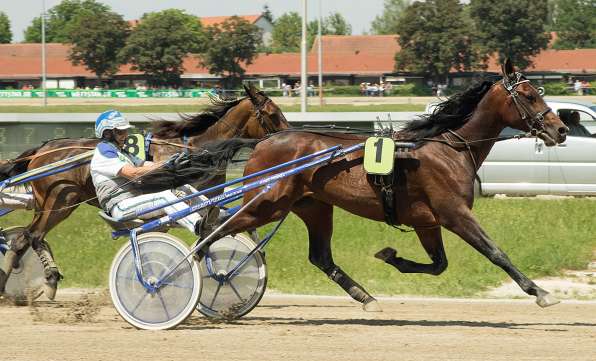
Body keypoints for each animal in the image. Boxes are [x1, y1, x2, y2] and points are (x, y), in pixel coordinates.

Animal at [0, 84, 288, 298]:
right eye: (273, 114)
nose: (287, 137)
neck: (195, 147)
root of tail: (40, 150)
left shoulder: (204, 194)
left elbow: (230, 221)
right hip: (60, 200)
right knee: (32, 236)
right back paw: (45, 279)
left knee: (24, 239)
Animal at [218, 59, 568, 310]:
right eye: (529, 96)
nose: (561, 129)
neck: (449, 147)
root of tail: (265, 141)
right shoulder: (454, 213)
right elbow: (496, 252)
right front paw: (540, 291)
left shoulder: (427, 222)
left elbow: (439, 265)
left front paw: (390, 257)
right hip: (267, 205)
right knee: (219, 229)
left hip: (313, 207)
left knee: (320, 257)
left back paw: (365, 297)